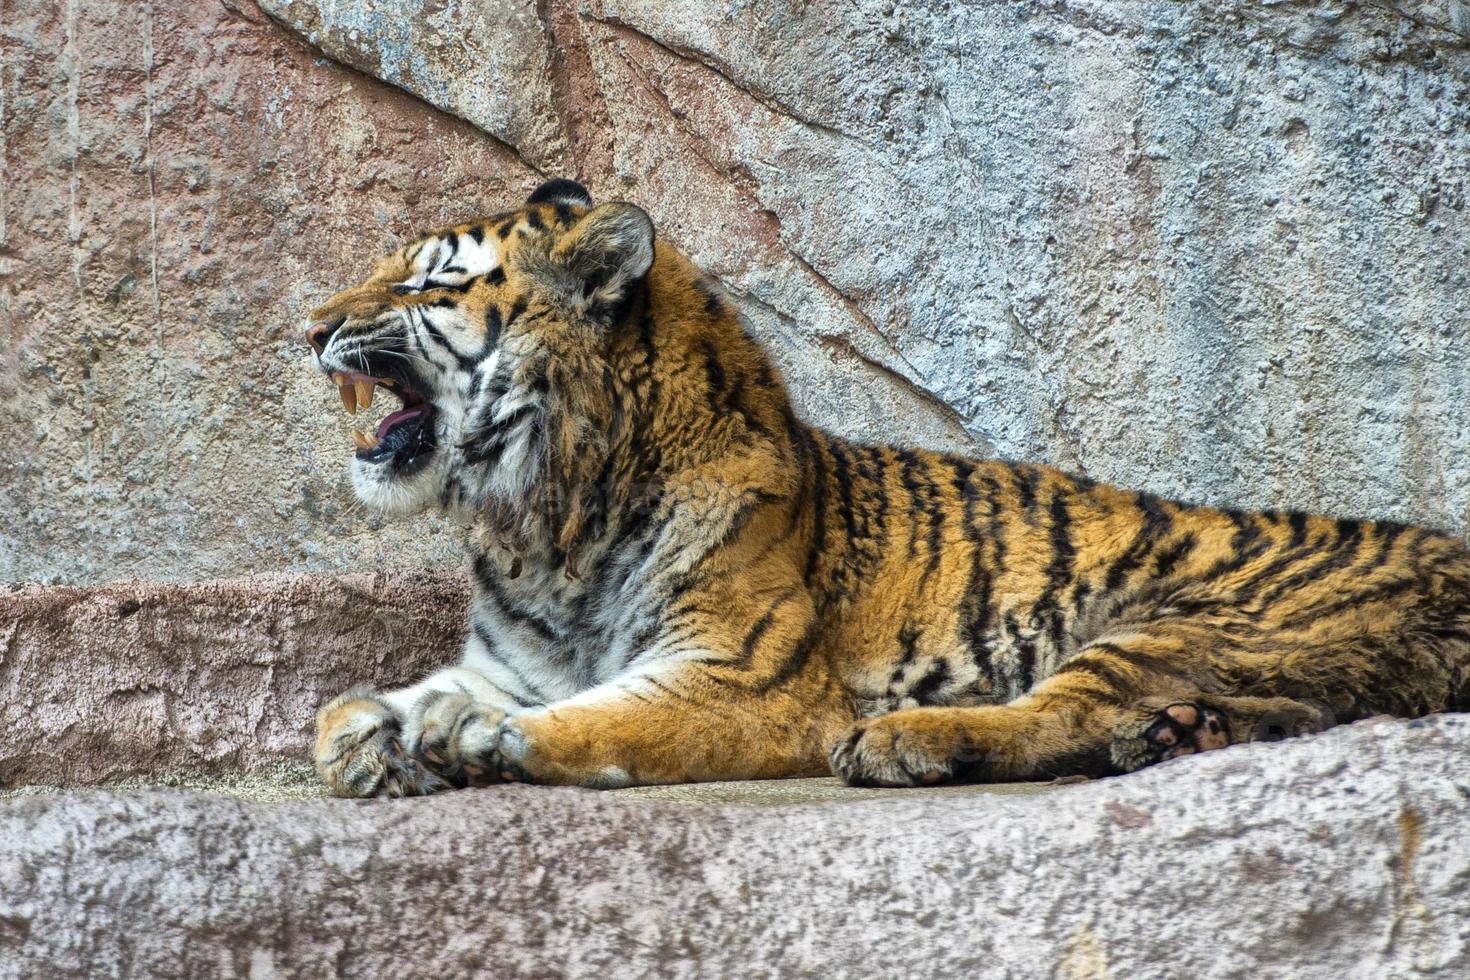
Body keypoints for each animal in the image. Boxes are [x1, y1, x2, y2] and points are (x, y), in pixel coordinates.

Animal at [301, 178, 1470, 799]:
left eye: (427, 284)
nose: (309, 328)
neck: (544, 522)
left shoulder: (745, 677)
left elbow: (598, 721)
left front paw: (470, 742)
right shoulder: (510, 661)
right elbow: (352, 703)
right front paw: (369, 743)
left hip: (1188, 620)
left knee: (1053, 715)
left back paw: (909, 740)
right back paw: (1179, 737)